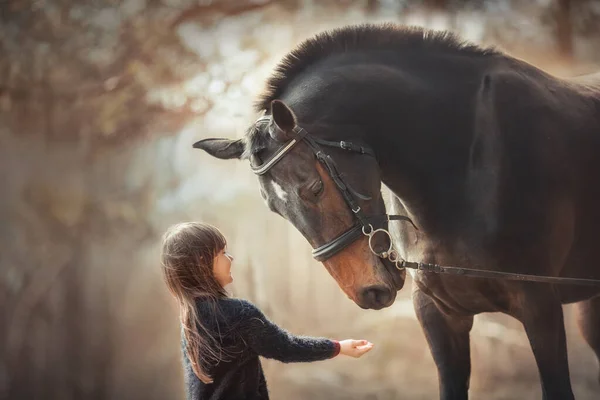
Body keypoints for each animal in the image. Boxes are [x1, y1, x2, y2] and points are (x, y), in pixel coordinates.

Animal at [192, 25, 600, 400]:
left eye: (314, 187)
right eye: (274, 208)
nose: (368, 292)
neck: (468, 159)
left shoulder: (539, 305)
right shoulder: (438, 312)